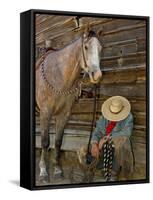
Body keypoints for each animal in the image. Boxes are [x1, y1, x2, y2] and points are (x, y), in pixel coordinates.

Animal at [35, 29, 103, 180]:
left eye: (100, 48)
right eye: (86, 47)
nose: (97, 75)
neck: (58, 76)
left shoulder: (64, 115)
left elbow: (58, 142)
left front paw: (57, 169)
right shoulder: (45, 113)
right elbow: (45, 141)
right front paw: (43, 171)